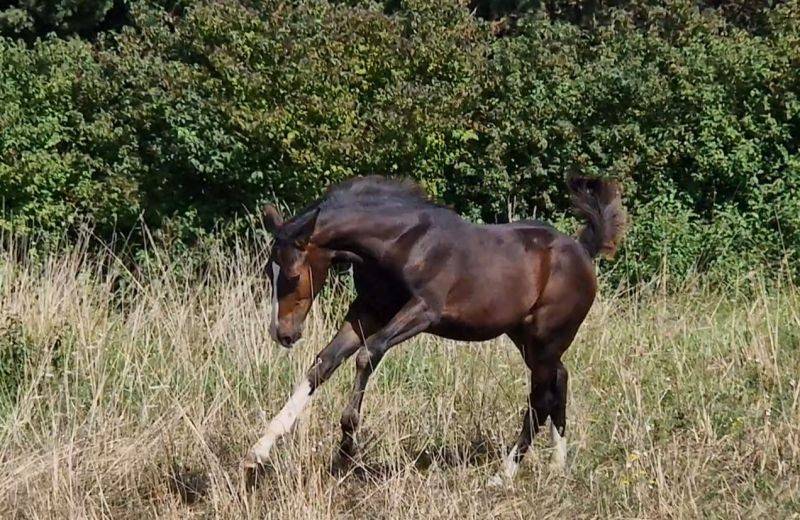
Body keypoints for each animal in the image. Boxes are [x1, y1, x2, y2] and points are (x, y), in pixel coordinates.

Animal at [243, 175, 626, 485]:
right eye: (267, 271)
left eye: (292, 275)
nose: (283, 333)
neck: (405, 242)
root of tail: (584, 251)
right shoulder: (367, 311)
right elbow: (323, 363)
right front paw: (259, 450)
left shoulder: (423, 311)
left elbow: (368, 354)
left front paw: (347, 449)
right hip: (528, 338)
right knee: (559, 379)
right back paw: (557, 464)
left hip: (547, 337)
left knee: (541, 396)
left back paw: (504, 474)